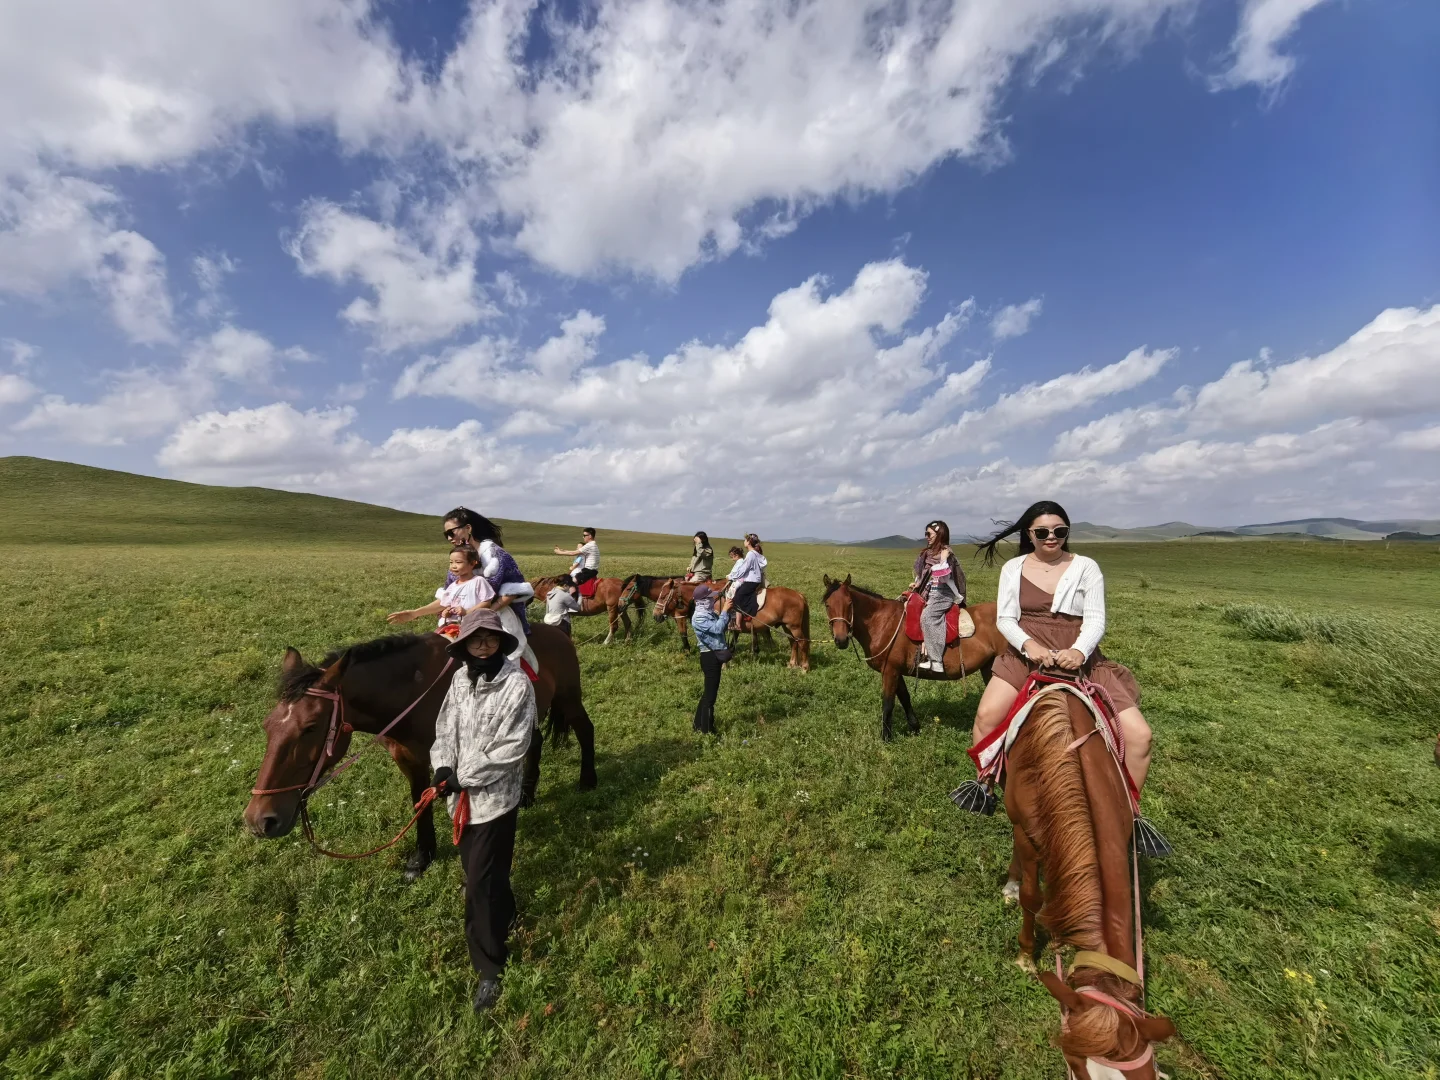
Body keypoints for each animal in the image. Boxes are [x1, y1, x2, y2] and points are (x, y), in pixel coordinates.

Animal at [243, 625, 596, 880]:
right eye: (267, 725)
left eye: (311, 726)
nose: (260, 820)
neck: (412, 690)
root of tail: (559, 631)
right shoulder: (408, 758)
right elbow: (420, 800)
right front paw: (422, 855)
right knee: (534, 742)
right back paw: (526, 794)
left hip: (569, 698)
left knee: (585, 730)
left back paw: (587, 781)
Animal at [821, 574, 1008, 741]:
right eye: (828, 605)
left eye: (849, 603)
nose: (841, 640)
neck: (882, 622)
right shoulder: (895, 671)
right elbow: (905, 698)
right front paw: (915, 727)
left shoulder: (890, 671)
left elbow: (888, 703)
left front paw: (886, 738)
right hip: (988, 668)